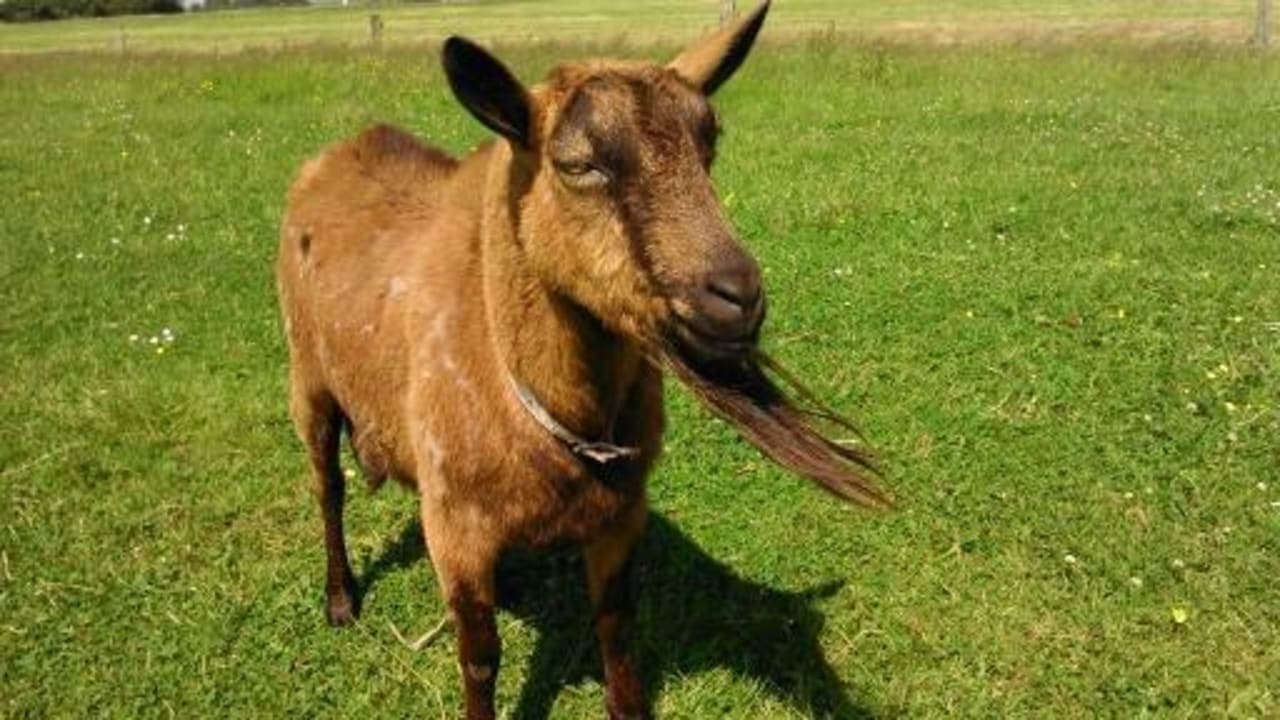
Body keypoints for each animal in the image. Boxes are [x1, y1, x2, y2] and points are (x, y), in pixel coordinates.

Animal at [277, 2, 887, 717]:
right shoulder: (454, 529)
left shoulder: (620, 515)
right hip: (308, 381)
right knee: (328, 486)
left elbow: (616, 627)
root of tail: (345, 147)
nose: (738, 296)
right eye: (577, 165)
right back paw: (341, 599)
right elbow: (479, 658)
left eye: (709, 144)